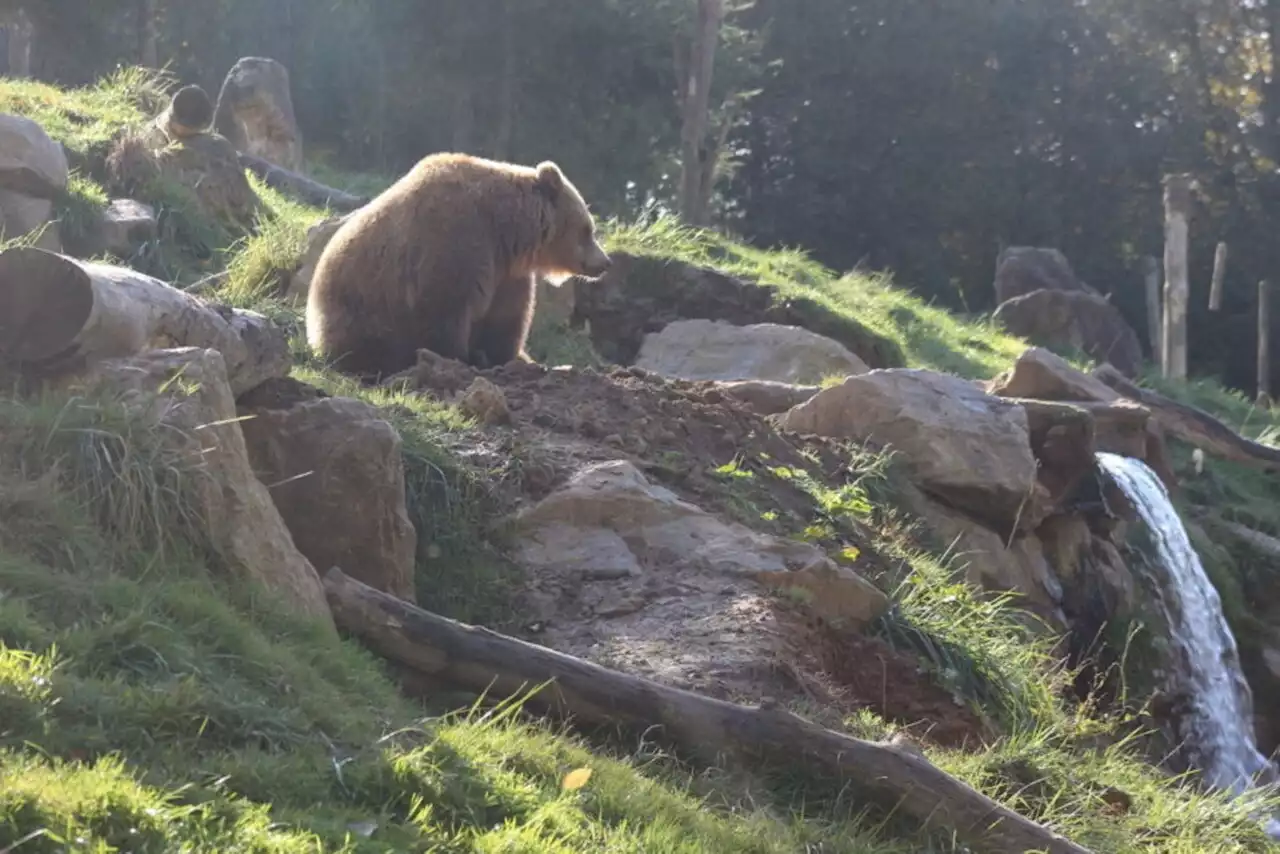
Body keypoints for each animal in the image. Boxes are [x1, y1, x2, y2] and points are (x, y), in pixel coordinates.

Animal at [307, 153, 611, 381]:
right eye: (587, 229)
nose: (605, 263)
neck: (505, 229)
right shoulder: (455, 244)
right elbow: (445, 311)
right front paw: (459, 360)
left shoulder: (506, 273)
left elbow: (506, 320)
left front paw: (514, 358)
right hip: (363, 312)